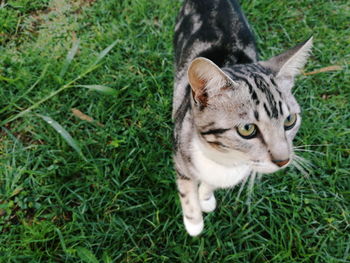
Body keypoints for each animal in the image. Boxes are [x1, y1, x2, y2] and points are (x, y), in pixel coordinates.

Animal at [174, 0, 314, 237]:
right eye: (247, 129)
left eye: (289, 121)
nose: (283, 160)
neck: (224, 159)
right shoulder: (180, 158)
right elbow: (186, 191)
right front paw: (194, 223)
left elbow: (210, 184)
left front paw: (206, 197)